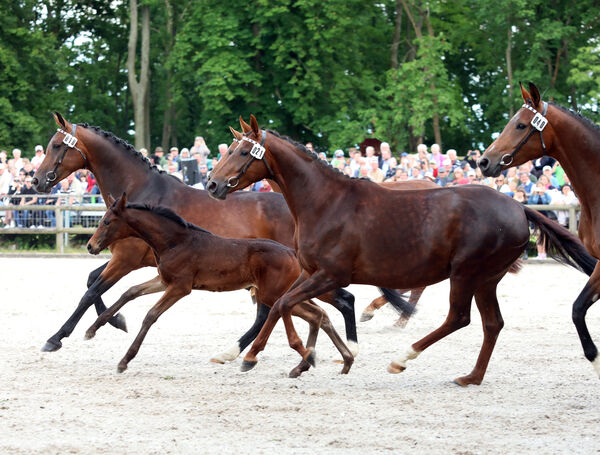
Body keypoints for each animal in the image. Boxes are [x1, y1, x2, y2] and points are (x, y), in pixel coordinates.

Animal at [86, 194, 354, 376]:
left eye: (107, 221)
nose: (90, 245)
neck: (175, 241)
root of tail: (291, 252)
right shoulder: (163, 281)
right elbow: (129, 292)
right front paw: (94, 328)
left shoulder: (180, 287)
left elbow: (150, 315)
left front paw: (124, 360)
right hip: (277, 292)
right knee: (316, 313)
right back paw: (336, 359)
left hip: (272, 292)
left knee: (295, 311)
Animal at [205, 114, 596, 384]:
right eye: (229, 150)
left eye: (244, 151)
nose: (211, 184)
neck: (325, 201)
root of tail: (517, 206)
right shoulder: (309, 272)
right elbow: (284, 305)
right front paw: (307, 358)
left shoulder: (330, 274)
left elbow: (283, 305)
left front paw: (259, 356)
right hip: (487, 278)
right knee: (492, 324)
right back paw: (471, 376)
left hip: (467, 272)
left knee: (459, 317)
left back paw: (403, 357)